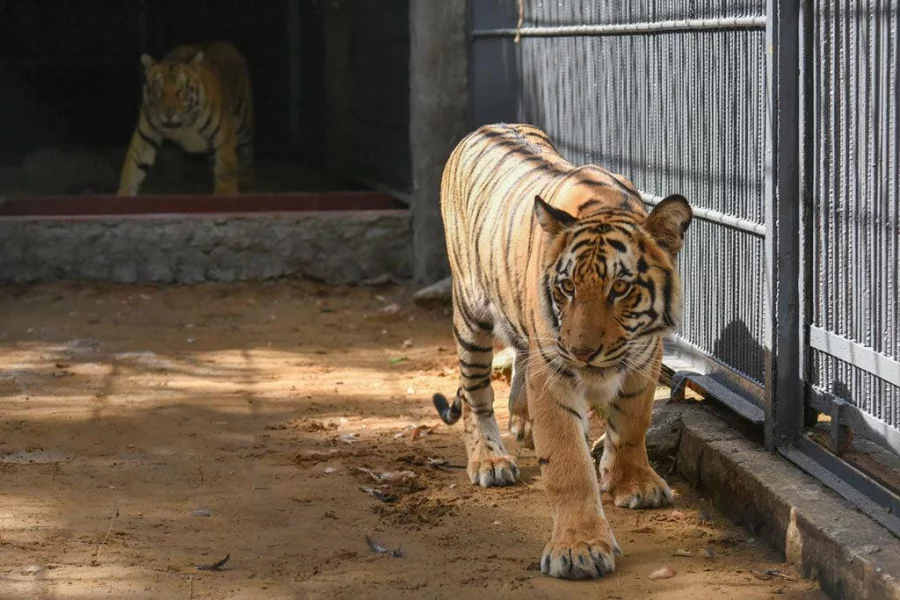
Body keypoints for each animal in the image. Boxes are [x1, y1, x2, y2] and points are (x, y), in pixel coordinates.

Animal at [117, 41, 254, 196]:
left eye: (180, 91)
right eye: (158, 91)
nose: (169, 114)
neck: (181, 126)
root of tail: (227, 44)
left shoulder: (223, 134)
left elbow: (225, 167)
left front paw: (226, 192)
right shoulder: (145, 135)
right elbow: (133, 165)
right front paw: (124, 192)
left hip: (242, 122)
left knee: (247, 151)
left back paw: (246, 183)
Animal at [432, 123, 692, 580]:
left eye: (620, 288)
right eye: (567, 287)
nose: (582, 352)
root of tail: (482, 128)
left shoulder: (645, 355)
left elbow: (633, 422)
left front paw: (634, 483)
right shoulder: (553, 372)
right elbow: (569, 462)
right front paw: (579, 548)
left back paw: (523, 423)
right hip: (470, 312)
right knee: (477, 393)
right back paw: (489, 461)